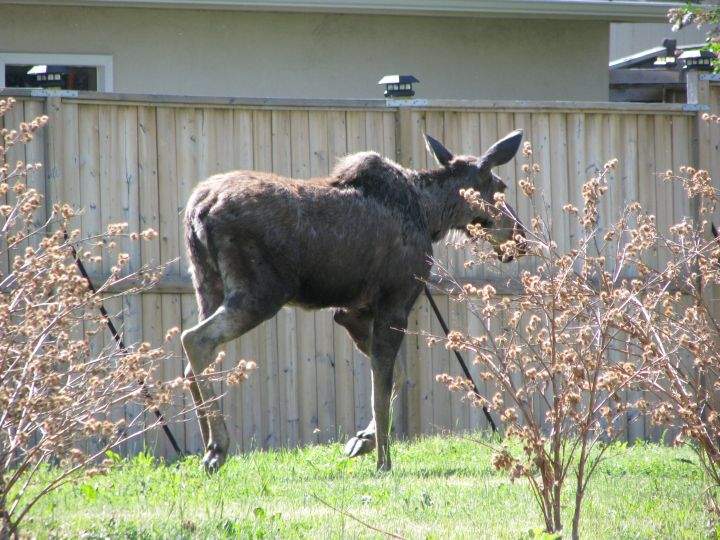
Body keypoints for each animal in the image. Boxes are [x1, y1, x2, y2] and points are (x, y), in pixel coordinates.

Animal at [180, 130, 526, 472]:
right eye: (501, 188)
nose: (520, 237)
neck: (430, 215)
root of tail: (199, 209)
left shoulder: (352, 312)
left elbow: (396, 376)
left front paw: (365, 439)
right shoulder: (394, 301)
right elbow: (380, 387)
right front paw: (383, 462)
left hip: (207, 286)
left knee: (189, 365)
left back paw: (206, 449)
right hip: (259, 294)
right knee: (194, 339)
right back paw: (217, 446)